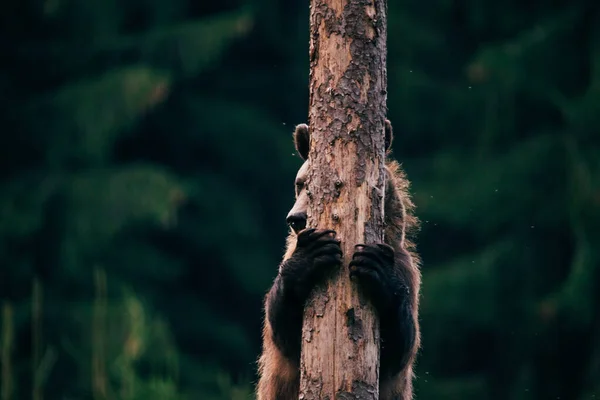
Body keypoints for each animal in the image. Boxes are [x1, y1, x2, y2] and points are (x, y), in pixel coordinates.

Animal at [258, 120, 422, 398]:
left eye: (308, 184)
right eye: (301, 183)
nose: (296, 218)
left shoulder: (406, 271)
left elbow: (398, 350)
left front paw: (376, 268)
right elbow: (284, 331)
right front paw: (311, 256)